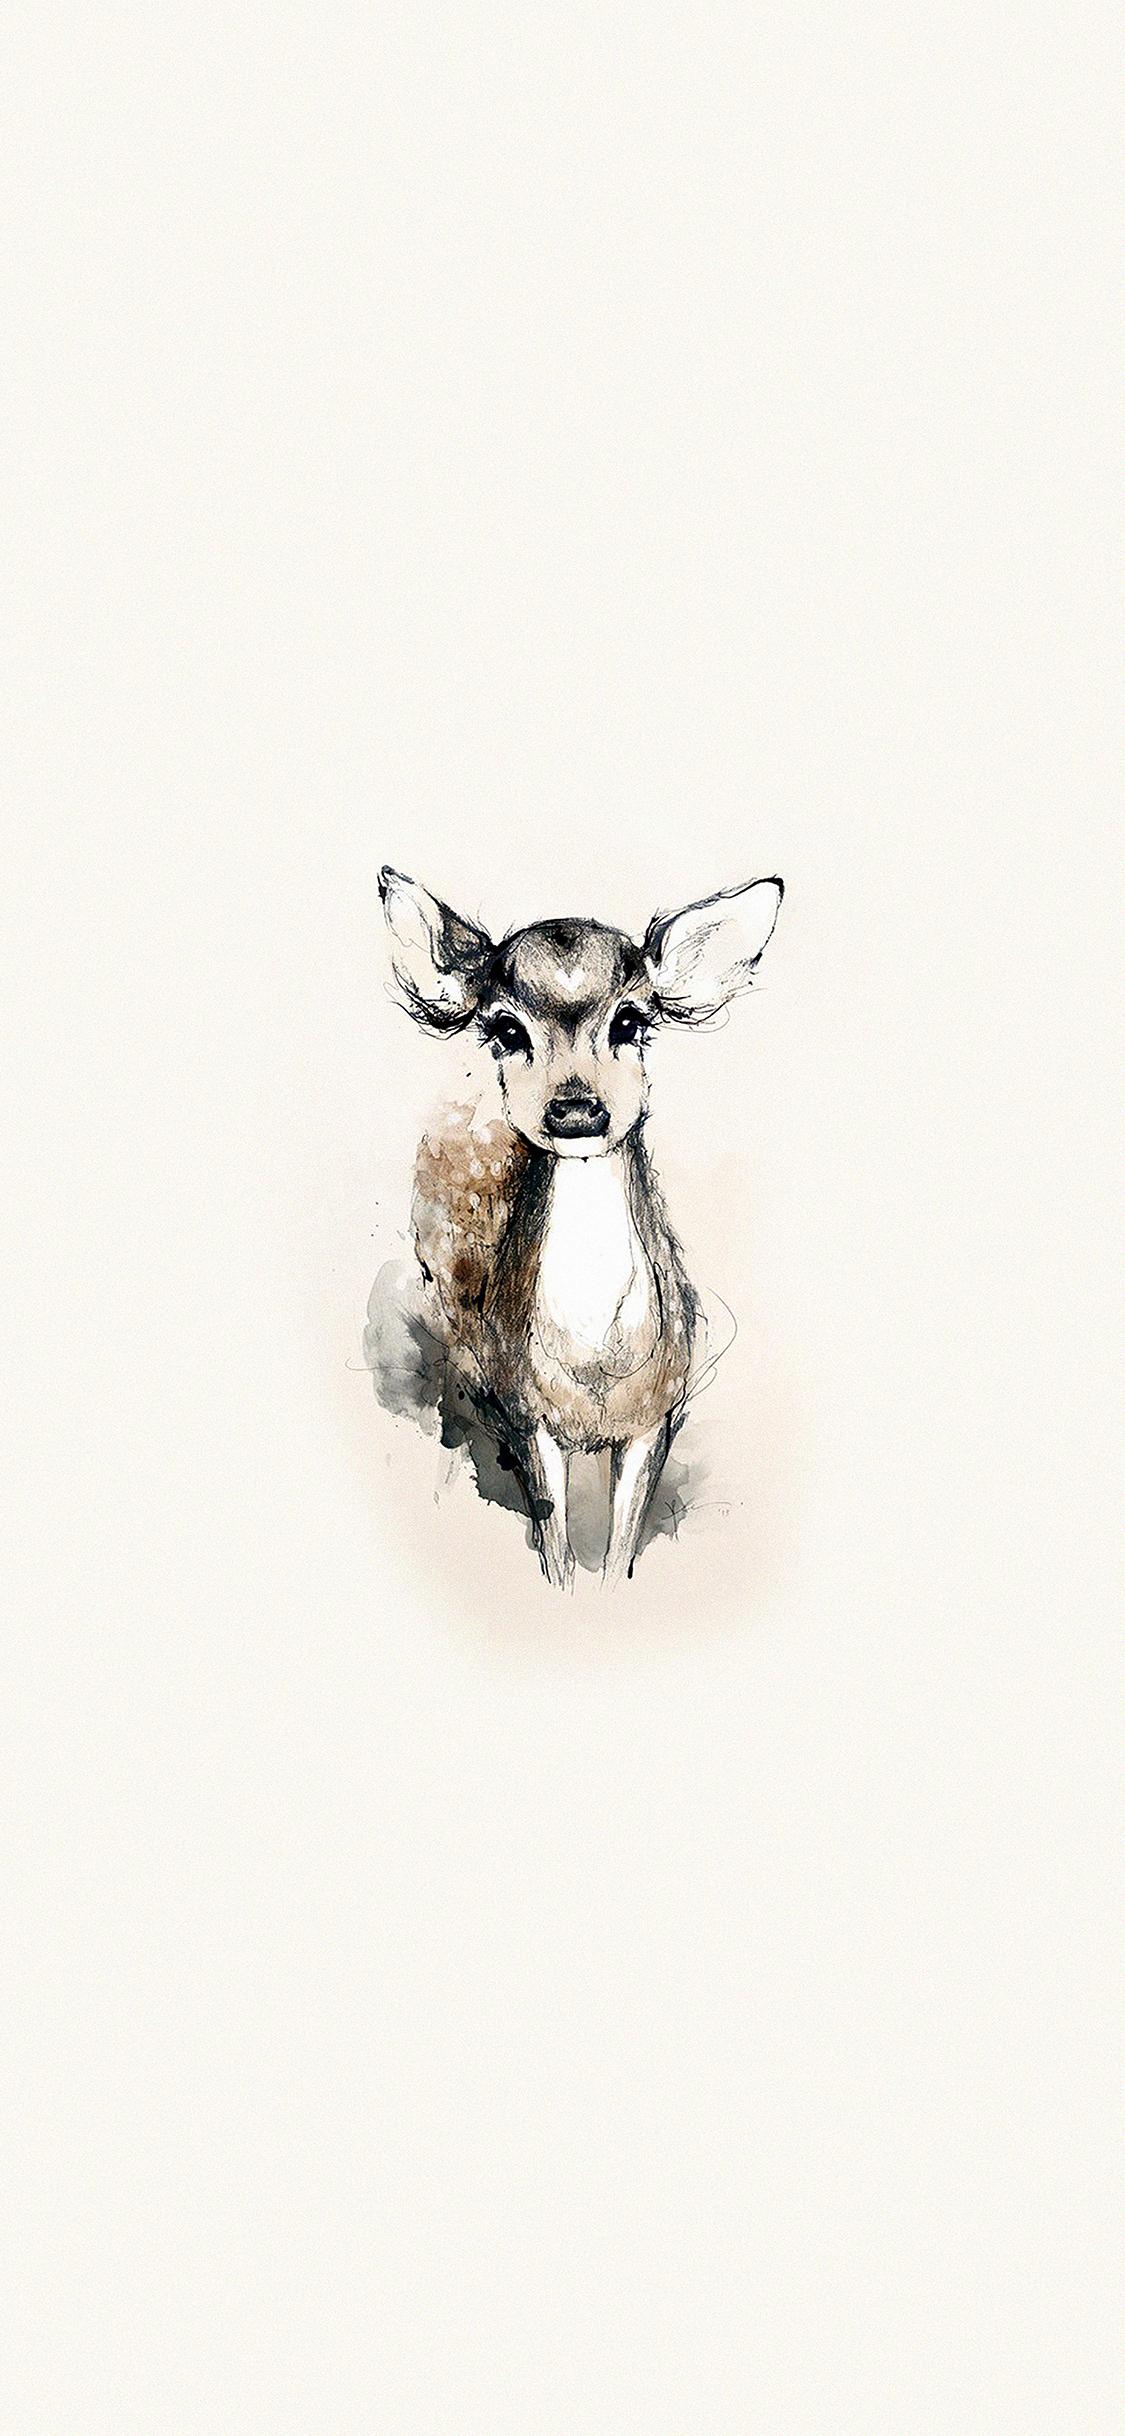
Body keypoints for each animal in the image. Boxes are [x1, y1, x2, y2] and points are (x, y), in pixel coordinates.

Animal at [378, 866, 783, 1587]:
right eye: (506, 1029)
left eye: (631, 1019)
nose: (574, 1110)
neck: (595, 1367)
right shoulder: (527, 1416)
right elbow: (557, 1550)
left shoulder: (657, 1416)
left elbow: (620, 1549)